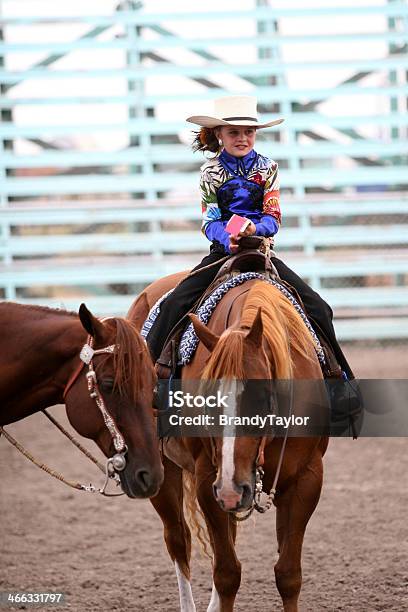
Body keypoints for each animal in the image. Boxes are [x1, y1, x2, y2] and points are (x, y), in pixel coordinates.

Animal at [129, 274, 330, 608]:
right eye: (208, 399)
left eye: (262, 397)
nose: (231, 491)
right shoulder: (210, 480)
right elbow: (227, 574)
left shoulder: (306, 478)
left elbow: (288, 575)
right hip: (166, 471)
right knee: (179, 539)